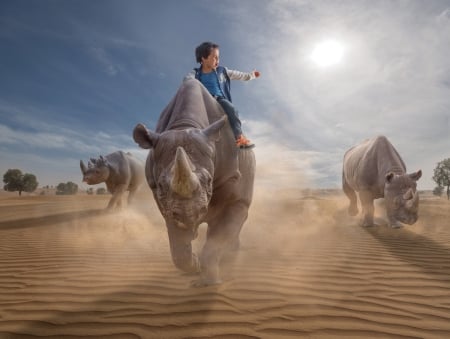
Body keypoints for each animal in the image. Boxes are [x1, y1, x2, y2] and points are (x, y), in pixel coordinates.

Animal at [132, 79, 255, 286]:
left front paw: (210, 283)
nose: (189, 214)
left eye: (209, 180)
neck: (184, 125)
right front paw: (194, 266)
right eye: (161, 185)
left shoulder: (231, 179)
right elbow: (178, 246)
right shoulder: (161, 197)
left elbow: (220, 235)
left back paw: (230, 256)